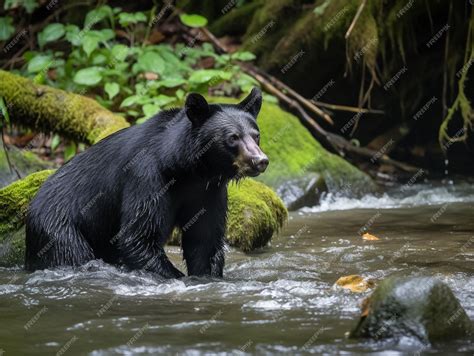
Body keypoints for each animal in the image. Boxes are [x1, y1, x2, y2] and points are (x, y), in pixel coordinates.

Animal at [25, 87, 268, 278]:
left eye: (256, 135)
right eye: (233, 137)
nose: (260, 160)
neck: (187, 170)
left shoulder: (208, 191)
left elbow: (204, 240)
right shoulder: (147, 177)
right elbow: (139, 236)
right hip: (59, 228)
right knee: (71, 252)